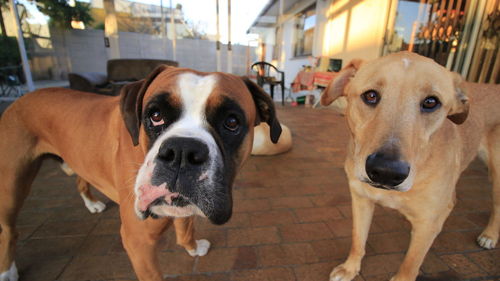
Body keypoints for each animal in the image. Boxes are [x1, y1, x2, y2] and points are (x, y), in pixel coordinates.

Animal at [0, 66, 282, 280]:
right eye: (155, 115)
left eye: (231, 122)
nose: (182, 151)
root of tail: (21, 99)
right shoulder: (138, 242)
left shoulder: (181, 207)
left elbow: (186, 226)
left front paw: (191, 247)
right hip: (11, 186)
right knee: (9, 229)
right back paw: (7, 270)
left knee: (82, 179)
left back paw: (91, 203)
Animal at [320, 50, 500, 280]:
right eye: (370, 96)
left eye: (431, 102)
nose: (386, 172)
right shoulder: (361, 200)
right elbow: (357, 239)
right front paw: (350, 268)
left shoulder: (427, 224)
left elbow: (410, 264)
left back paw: (490, 235)